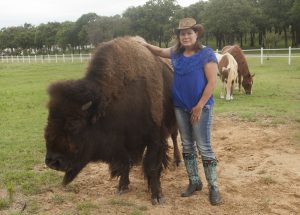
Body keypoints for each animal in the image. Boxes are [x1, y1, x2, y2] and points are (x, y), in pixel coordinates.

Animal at [44, 36, 179, 204]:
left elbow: (153, 167)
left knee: (174, 137)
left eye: (74, 123)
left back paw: (177, 161)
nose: (52, 162)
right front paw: (122, 187)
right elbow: (124, 164)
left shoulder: (155, 139)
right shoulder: (121, 143)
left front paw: (157, 196)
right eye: (49, 117)